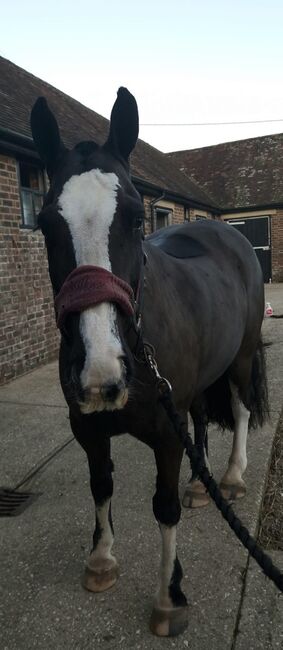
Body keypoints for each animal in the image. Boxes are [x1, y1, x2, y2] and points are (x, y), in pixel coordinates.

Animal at [30, 88, 268, 636]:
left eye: (137, 217)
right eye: (47, 223)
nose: (102, 374)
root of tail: (230, 235)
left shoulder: (165, 436)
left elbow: (164, 507)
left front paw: (169, 596)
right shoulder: (87, 428)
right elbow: (101, 485)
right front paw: (101, 560)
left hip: (241, 358)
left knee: (241, 409)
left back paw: (231, 478)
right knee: (201, 416)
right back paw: (202, 483)